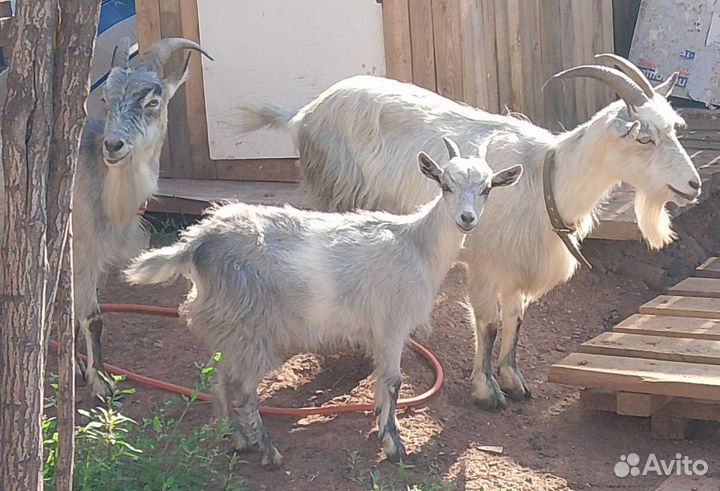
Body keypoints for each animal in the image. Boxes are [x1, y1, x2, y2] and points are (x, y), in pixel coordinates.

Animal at [74, 37, 211, 396]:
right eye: (105, 99)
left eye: (153, 101)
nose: (113, 145)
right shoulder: (81, 249)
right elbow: (92, 316)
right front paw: (102, 381)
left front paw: (82, 369)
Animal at [125, 138, 522, 467]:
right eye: (445, 184)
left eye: (487, 188)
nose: (467, 219)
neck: (417, 244)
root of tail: (197, 242)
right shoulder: (392, 324)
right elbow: (393, 381)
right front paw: (393, 444)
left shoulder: (380, 331)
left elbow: (382, 382)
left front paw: (380, 423)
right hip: (253, 327)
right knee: (243, 390)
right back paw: (268, 452)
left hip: (231, 329)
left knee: (220, 383)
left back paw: (239, 440)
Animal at [237, 54, 701, 411]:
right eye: (644, 138)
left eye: (675, 128)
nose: (694, 184)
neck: (546, 178)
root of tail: (305, 114)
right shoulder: (485, 263)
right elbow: (490, 323)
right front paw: (486, 390)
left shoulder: (516, 267)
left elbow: (516, 319)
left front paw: (513, 380)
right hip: (331, 191)